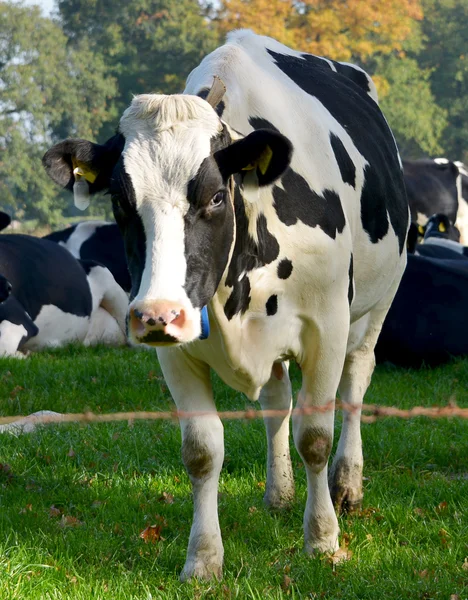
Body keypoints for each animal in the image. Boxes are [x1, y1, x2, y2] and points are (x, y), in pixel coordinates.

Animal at [44, 29, 410, 580]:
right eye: (121, 201)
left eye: (216, 196)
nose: (157, 314)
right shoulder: (175, 350)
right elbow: (202, 450)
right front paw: (203, 559)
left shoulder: (326, 327)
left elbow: (315, 436)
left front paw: (323, 540)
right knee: (277, 402)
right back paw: (279, 492)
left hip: (378, 303)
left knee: (356, 384)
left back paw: (348, 485)